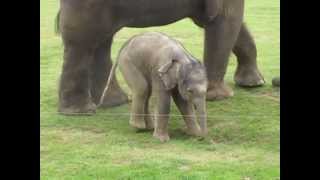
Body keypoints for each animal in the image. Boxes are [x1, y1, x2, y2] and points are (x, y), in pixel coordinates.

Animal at [56, 0, 264, 114]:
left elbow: (234, 24)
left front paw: (253, 84)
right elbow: (225, 19)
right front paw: (218, 96)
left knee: (101, 42)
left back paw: (115, 102)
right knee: (83, 43)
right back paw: (81, 111)